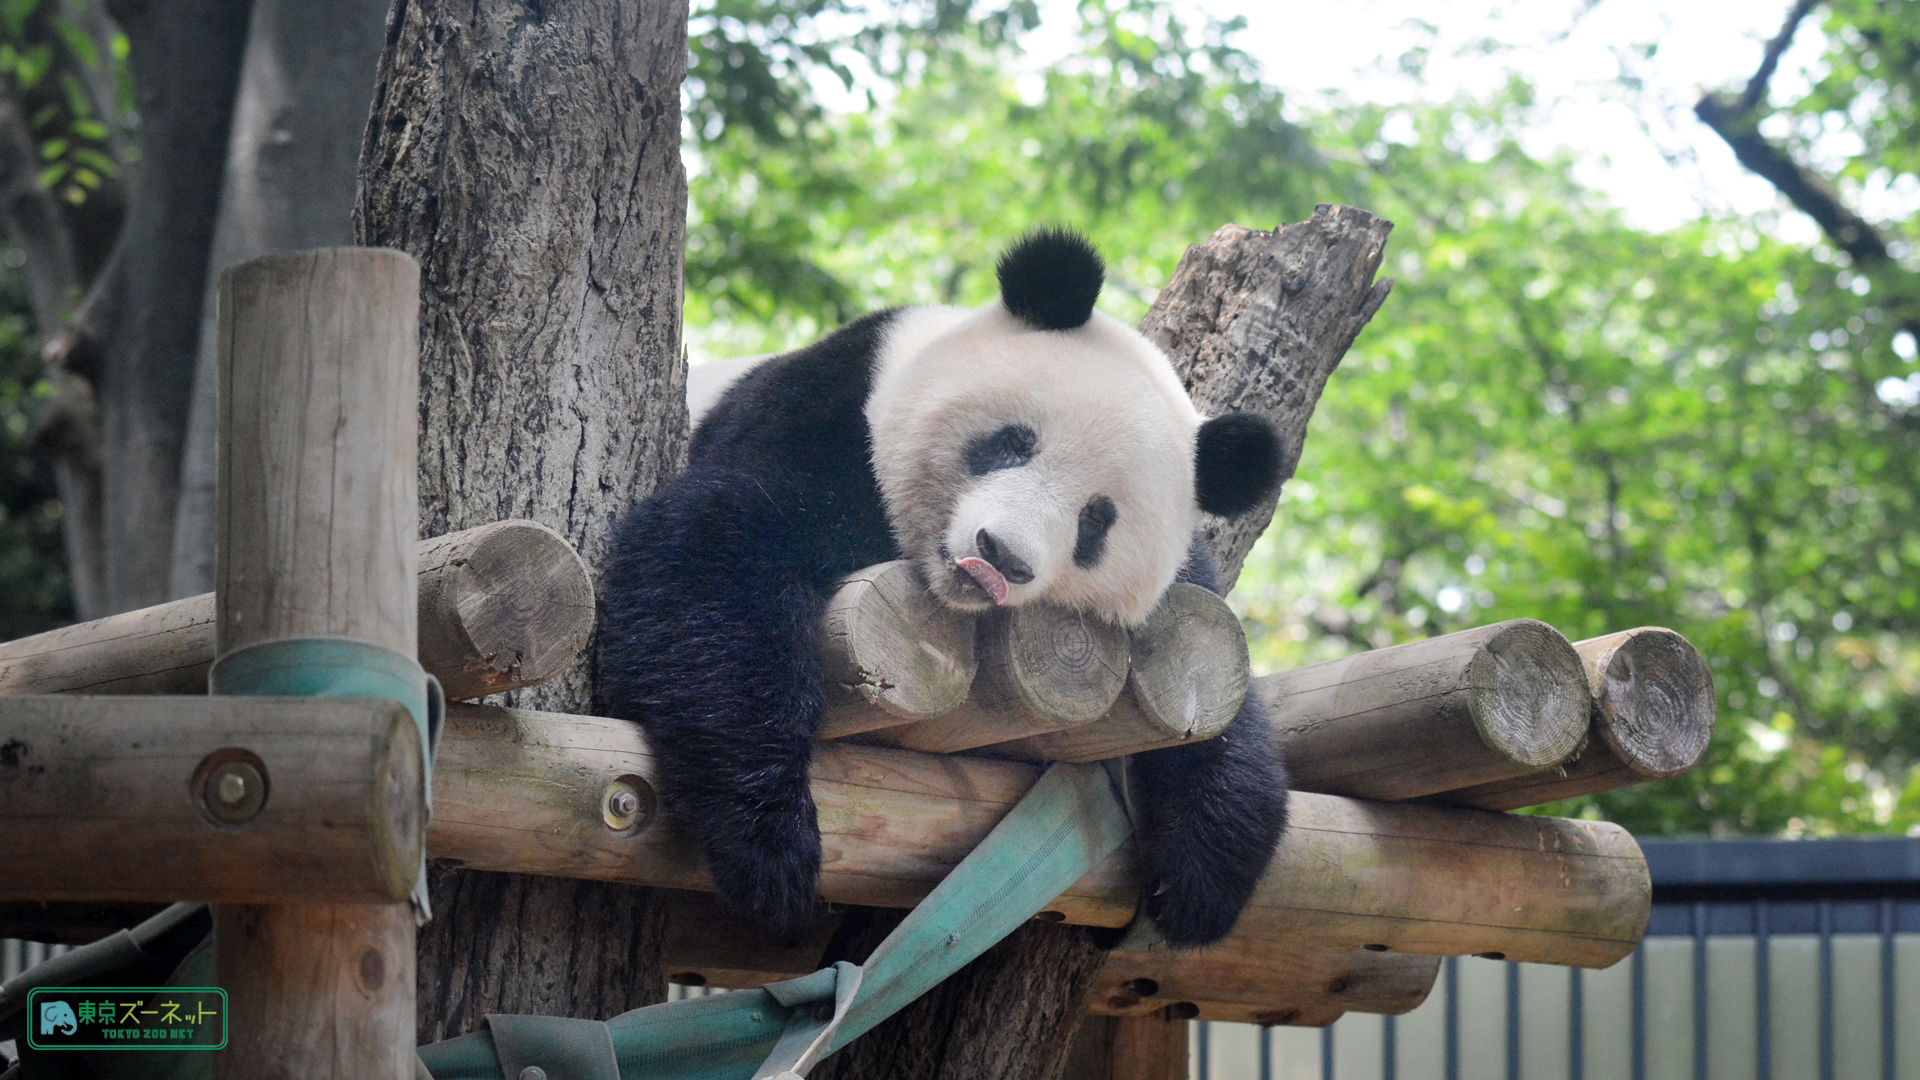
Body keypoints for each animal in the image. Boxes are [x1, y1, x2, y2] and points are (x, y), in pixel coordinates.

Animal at [599, 224, 1290, 941]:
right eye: (1014, 442)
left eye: (1096, 520)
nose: (1001, 556)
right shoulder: (825, 418)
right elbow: (715, 553)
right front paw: (768, 848)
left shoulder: (1185, 583)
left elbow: (1216, 691)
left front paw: (1203, 878)